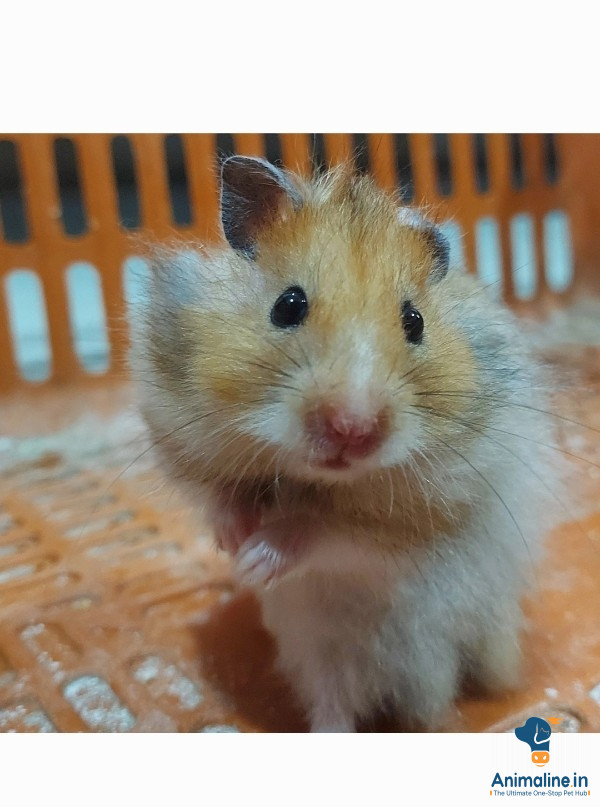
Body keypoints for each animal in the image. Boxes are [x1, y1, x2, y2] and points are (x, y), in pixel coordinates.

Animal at [133, 155, 556, 732]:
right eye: (288, 305)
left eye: (414, 321)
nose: (352, 429)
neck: (317, 478)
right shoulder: (180, 434)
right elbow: (221, 494)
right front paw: (234, 540)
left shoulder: (414, 523)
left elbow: (322, 529)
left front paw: (256, 559)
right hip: (321, 659)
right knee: (334, 706)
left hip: (437, 654)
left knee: (430, 707)